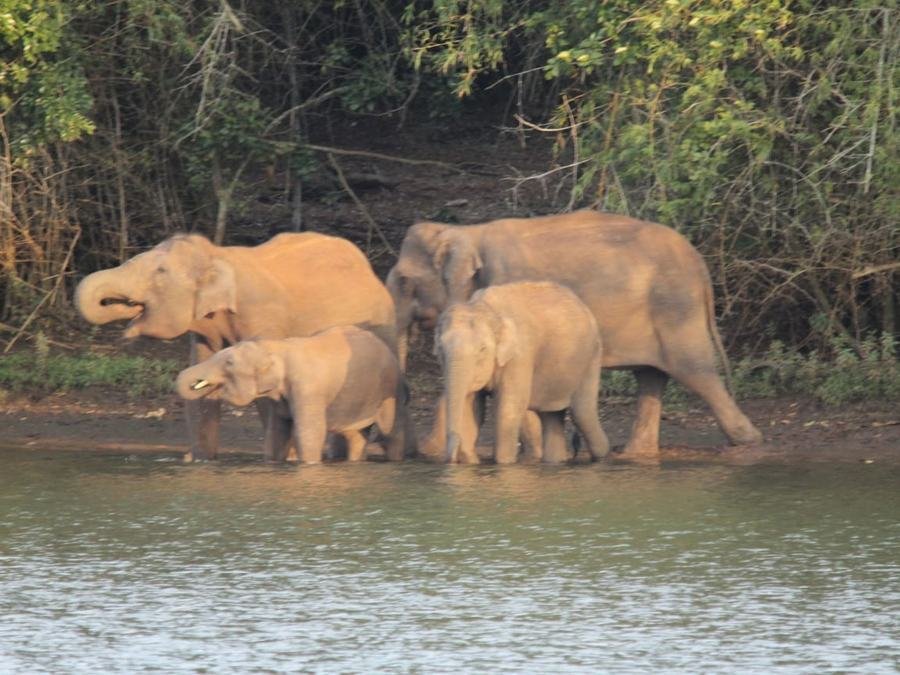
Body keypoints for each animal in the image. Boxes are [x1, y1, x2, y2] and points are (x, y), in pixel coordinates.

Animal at [175, 326, 403, 463]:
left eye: (229, 363)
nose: (187, 457)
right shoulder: (279, 397)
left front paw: (309, 465)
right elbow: (277, 430)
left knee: (390, 430)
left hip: (389, 389)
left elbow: (309, 432)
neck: (278, 346)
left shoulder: (307, 389)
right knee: (355, 436)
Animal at [436, 281, 609, 464]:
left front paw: (504, 463)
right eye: (440, 348)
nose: (451, 460)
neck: (485, 308)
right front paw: (471, 462)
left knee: (582, 413)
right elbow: (471, 405)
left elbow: (508, 407)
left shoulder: (521, 355)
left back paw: (602, 457)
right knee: (551, 416)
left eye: (482, 349)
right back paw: (556, 461)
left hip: (591, 356)